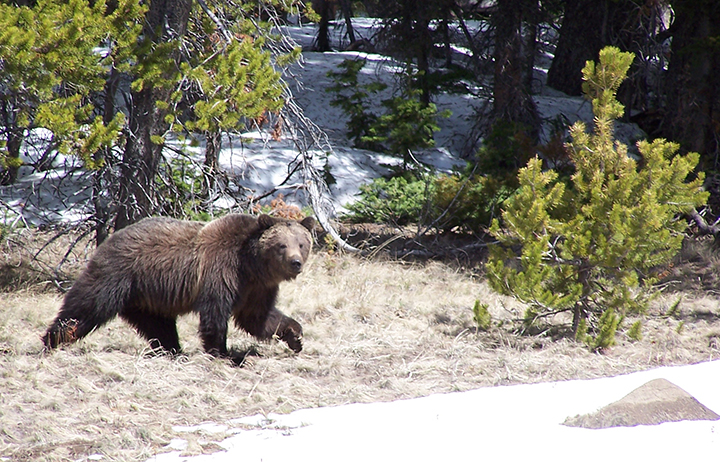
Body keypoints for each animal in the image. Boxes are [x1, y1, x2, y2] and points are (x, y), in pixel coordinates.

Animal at [43, 213, 314, 358]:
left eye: (301, 243)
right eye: (282, 245)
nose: (296, 262)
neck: (252, 265)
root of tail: (110, 237)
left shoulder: (257, 289)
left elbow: (258, 318)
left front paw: (295, 336)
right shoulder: (222, 272)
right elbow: (215, 315)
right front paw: (222, 352)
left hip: (146, 296)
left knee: (159, 325)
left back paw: (172, 349)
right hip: (118, 275)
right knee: (86, 307)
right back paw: (54, 338)